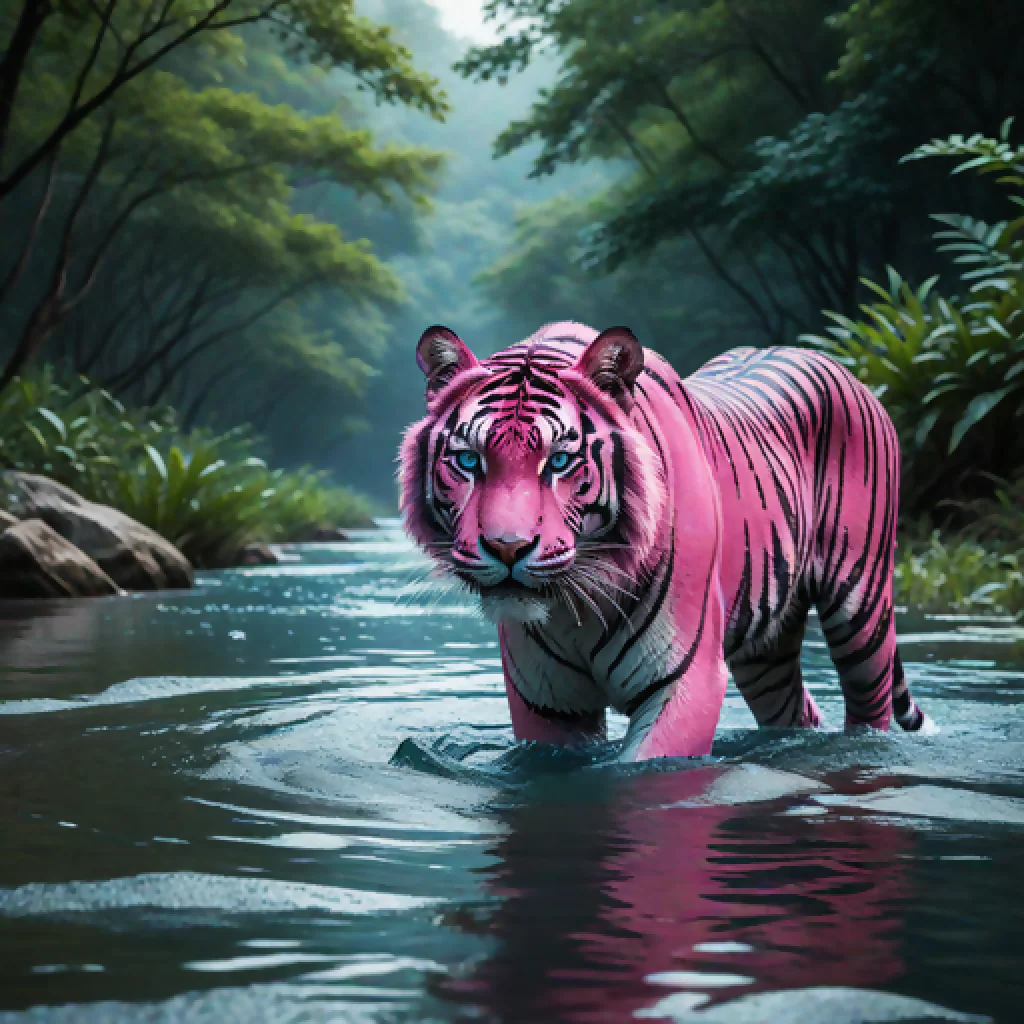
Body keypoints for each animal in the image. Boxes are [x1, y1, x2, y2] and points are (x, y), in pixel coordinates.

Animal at [398, 320, 930, 760]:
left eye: (559, 461)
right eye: (469, 461)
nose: (507, 548)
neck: (579, 606)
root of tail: (851, 375)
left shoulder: (684, 681)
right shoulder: (548, 703)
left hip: (860, 608)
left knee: (870, 710)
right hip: (766, 650)